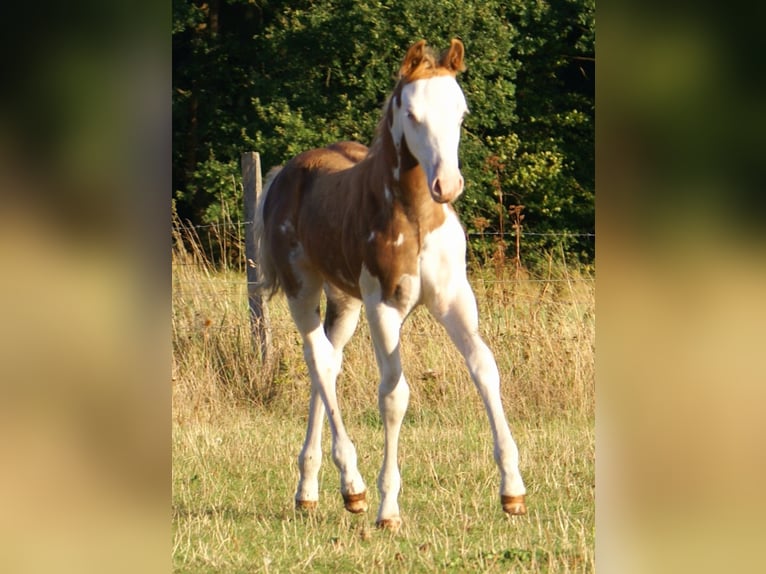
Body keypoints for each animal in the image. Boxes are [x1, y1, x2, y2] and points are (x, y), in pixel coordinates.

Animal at [255, 39, 526, 530]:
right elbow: (395, 395)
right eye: (413, 114)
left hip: (345, 301)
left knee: (328, 365)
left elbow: (485, 368)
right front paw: (388, 508)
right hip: (303, 289)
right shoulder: (384, 306)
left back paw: (310, 491)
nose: (447, 185)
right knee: (318, 360)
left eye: (461, 112)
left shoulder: (454, 299)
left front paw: (512, 491)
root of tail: (284, 174)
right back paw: (352, 487)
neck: (415, 218)